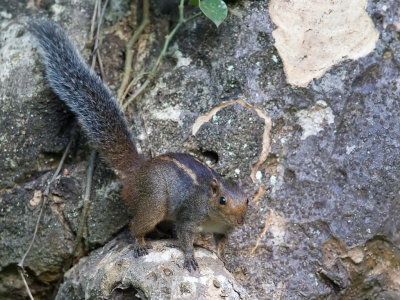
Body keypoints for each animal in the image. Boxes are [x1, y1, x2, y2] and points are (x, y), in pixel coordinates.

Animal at [28, 18, 248, 272]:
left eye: (247, 200)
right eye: (222, 200)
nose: (241, 220)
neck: (212, 213)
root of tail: (138, 168)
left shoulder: (224, 230)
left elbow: (221, 244)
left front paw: (223, 260)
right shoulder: (189, 217)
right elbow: (184, 236)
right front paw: (190, 257)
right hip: (154, 200)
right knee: (137, 224)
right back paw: (140, 242)